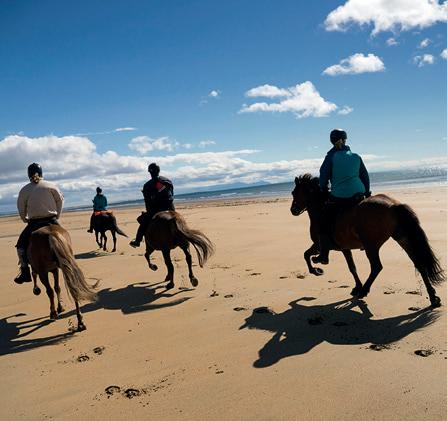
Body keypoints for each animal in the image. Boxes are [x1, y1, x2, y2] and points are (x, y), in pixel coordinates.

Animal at [290, 174, 445, 308]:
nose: (293, 210)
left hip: (371, 246)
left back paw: (364, 291)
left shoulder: (319, 244)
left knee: (377, 267)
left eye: (294, 192)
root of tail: (393, 205)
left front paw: (316, 269)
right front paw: (356, 287)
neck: (321, 209)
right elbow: (352, 267)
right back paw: (433, 298)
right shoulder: (344, 248)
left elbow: (307, 255)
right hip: (403, 239)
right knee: (419, 264)